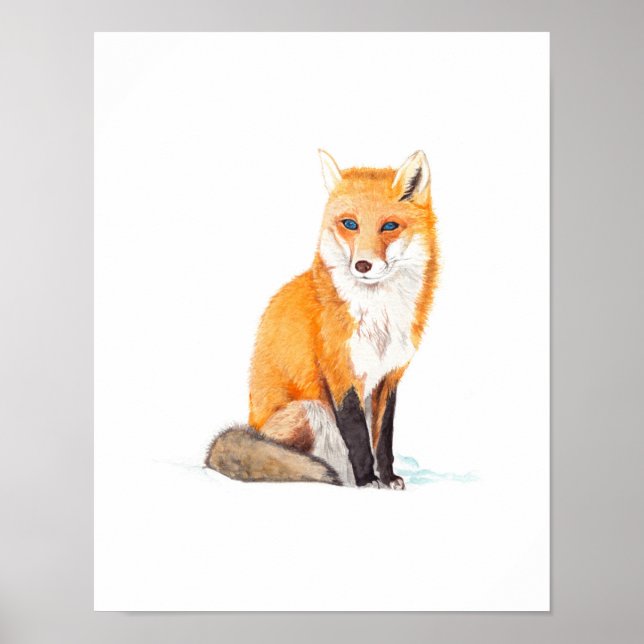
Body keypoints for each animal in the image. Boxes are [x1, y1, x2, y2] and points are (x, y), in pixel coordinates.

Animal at [206, 149, 439, 488]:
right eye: (350, 224)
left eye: (389, 226)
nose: (363, 265)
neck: (378, 317)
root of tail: (253, 425)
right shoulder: (339, 372)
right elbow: (358, 436)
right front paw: (367, 481)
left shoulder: (389, 377)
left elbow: (383, 438)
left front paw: (388, 477)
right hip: (310, 409)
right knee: (293, 457)